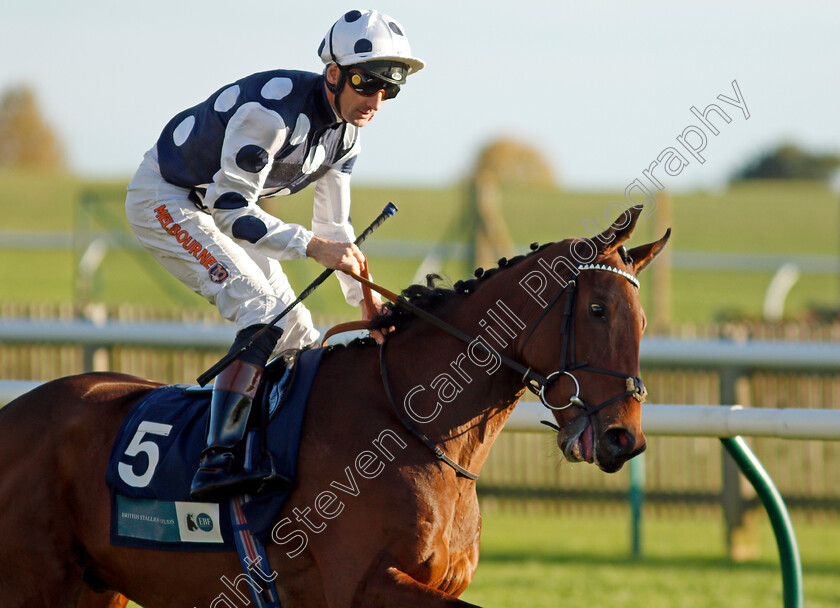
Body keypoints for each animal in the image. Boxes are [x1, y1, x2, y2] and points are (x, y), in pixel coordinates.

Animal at [1, 207, 668, 604]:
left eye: (641, 322)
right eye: (598, 311)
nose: (624, 439)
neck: (408, 425)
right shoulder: (366, 584)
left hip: (97, 587)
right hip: (36, 583)